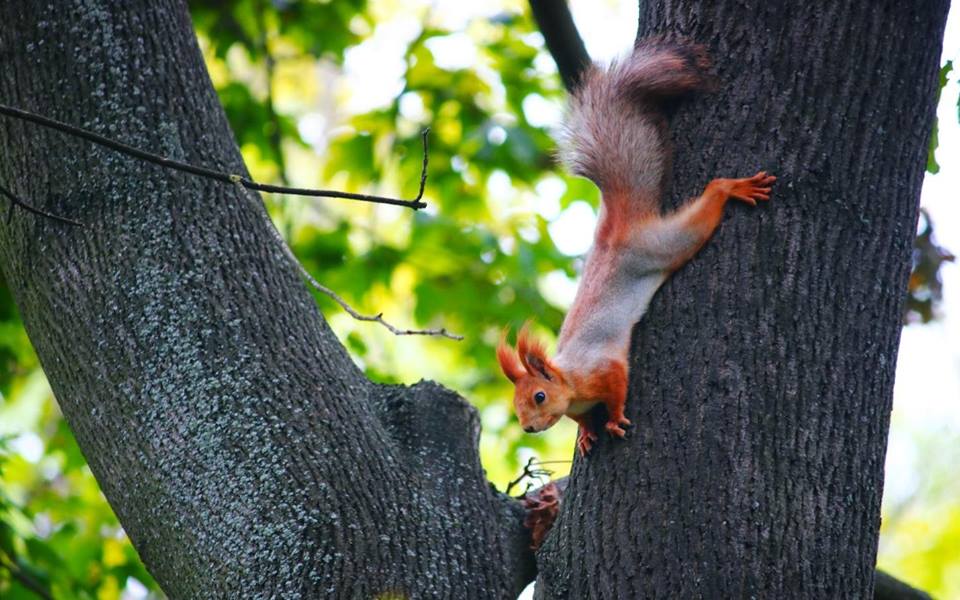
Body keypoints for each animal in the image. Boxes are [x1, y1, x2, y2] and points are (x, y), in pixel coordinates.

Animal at [498, 41, 776, 454]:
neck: (570, 380)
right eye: (517, 406)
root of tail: (616, 227)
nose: (529, 428)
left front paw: (613, 420)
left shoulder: (604, 368)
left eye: (539, 396)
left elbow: (617, 387)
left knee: (706, 207)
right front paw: (587, 433)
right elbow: (583, 419)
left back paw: (731, 188)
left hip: (663, 245)